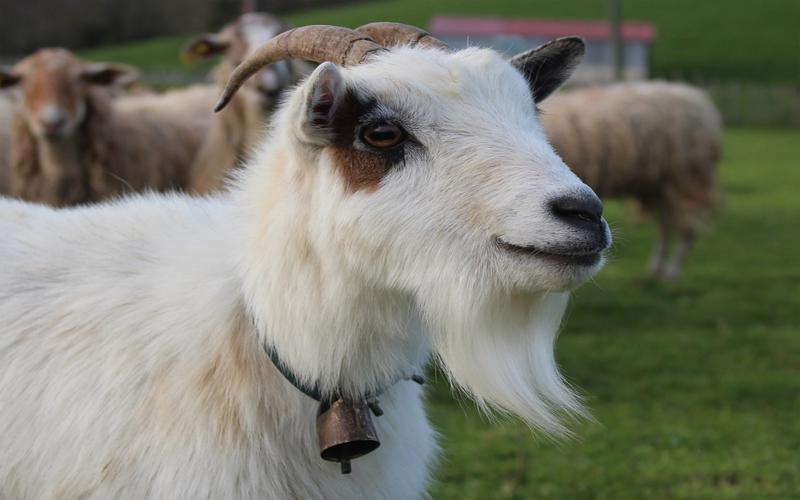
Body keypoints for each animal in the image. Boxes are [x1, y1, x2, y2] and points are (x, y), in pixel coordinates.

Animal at [539, 81, 722, 280]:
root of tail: (697, 98)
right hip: (657, 185)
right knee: (666, 225)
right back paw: (656, 268)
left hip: (685, 178)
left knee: (687, 228)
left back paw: (671, 272)